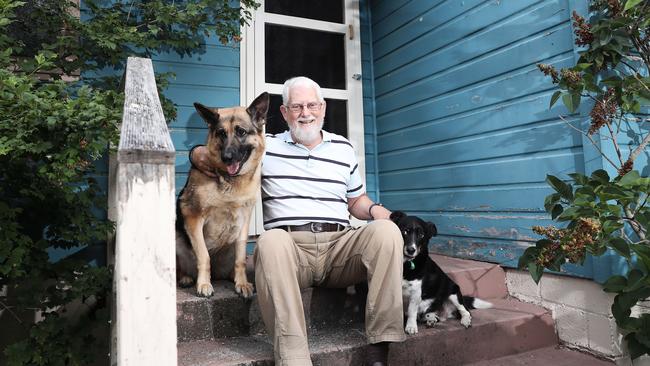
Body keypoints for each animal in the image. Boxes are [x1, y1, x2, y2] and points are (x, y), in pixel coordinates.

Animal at [175, 91, 268, 298]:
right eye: (221, 133)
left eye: (241, 132)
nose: (227, 157)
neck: (230, 181)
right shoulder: (193, 217)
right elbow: (204, 256)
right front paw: (203, 284)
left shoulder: (244, 221)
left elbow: (240, 258)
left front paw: (242, 283)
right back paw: (186, 278)